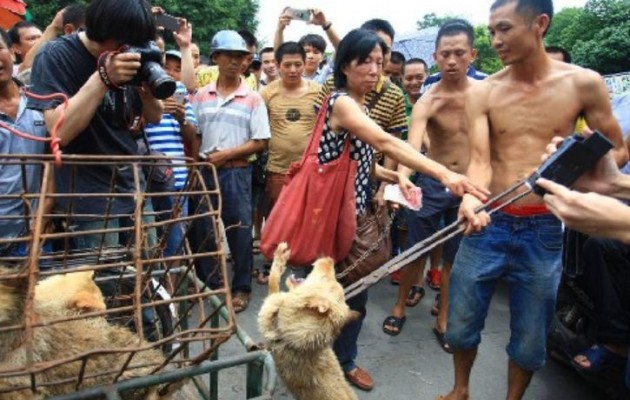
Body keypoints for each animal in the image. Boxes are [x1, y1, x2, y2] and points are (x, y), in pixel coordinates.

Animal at [258, 243, 360, 400]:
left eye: (324, 278)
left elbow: (273, 280)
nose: (331, 259)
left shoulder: (271, 305)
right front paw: (281, 256)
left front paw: (279, 257)